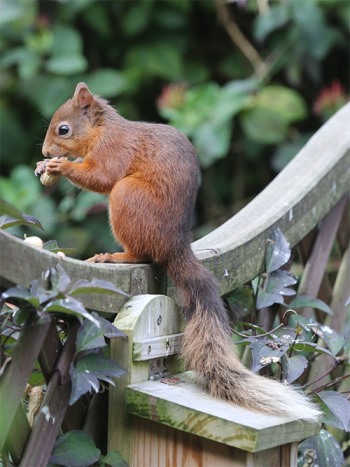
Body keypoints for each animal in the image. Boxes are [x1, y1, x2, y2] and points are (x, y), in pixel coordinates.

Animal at [40, 82, 320, 422]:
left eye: (63, 129)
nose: (45, 153)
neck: (102, 129)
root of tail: (174, 245)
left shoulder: (113, 150)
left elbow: (102, 176)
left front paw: (61, 166)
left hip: (127, 198)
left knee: (141, 254)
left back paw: (116, 256)